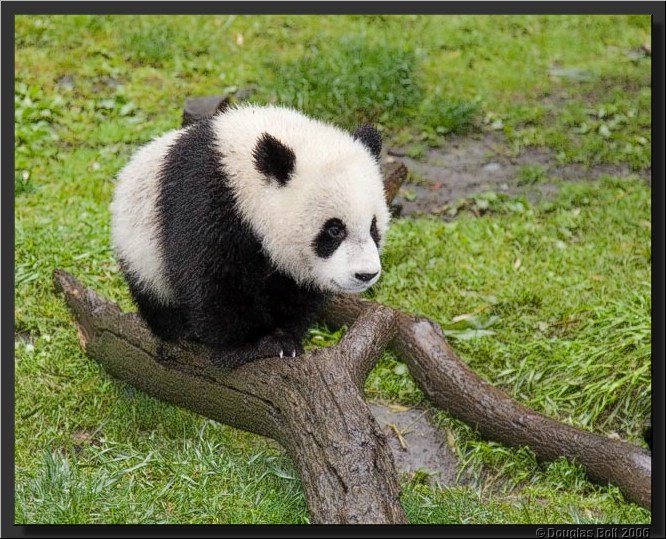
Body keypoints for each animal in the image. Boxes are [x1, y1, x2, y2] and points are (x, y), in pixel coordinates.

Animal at [110, 104, 391, 368]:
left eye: (373, 227)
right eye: (334, 230)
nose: (365, 274)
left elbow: (292, 291)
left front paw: (286, 336)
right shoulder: (208, 202)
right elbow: (213, 279)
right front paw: (256, 343)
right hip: (142, 249)